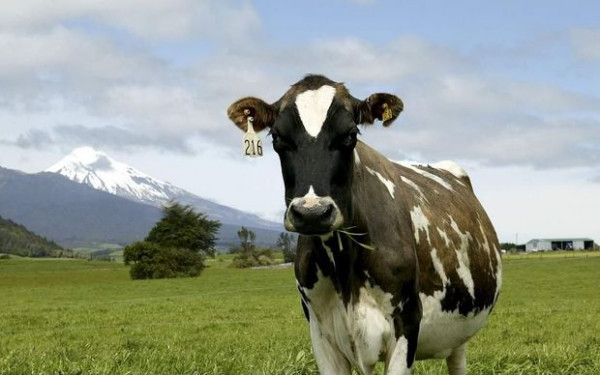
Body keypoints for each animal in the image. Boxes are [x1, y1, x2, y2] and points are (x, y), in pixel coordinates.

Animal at [227, 75, 504, 374]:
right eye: (278, 138)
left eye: (351, 135)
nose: (312, 212)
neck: (343, 269)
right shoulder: (320, 333)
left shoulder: (407, 323)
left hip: (462, 332)